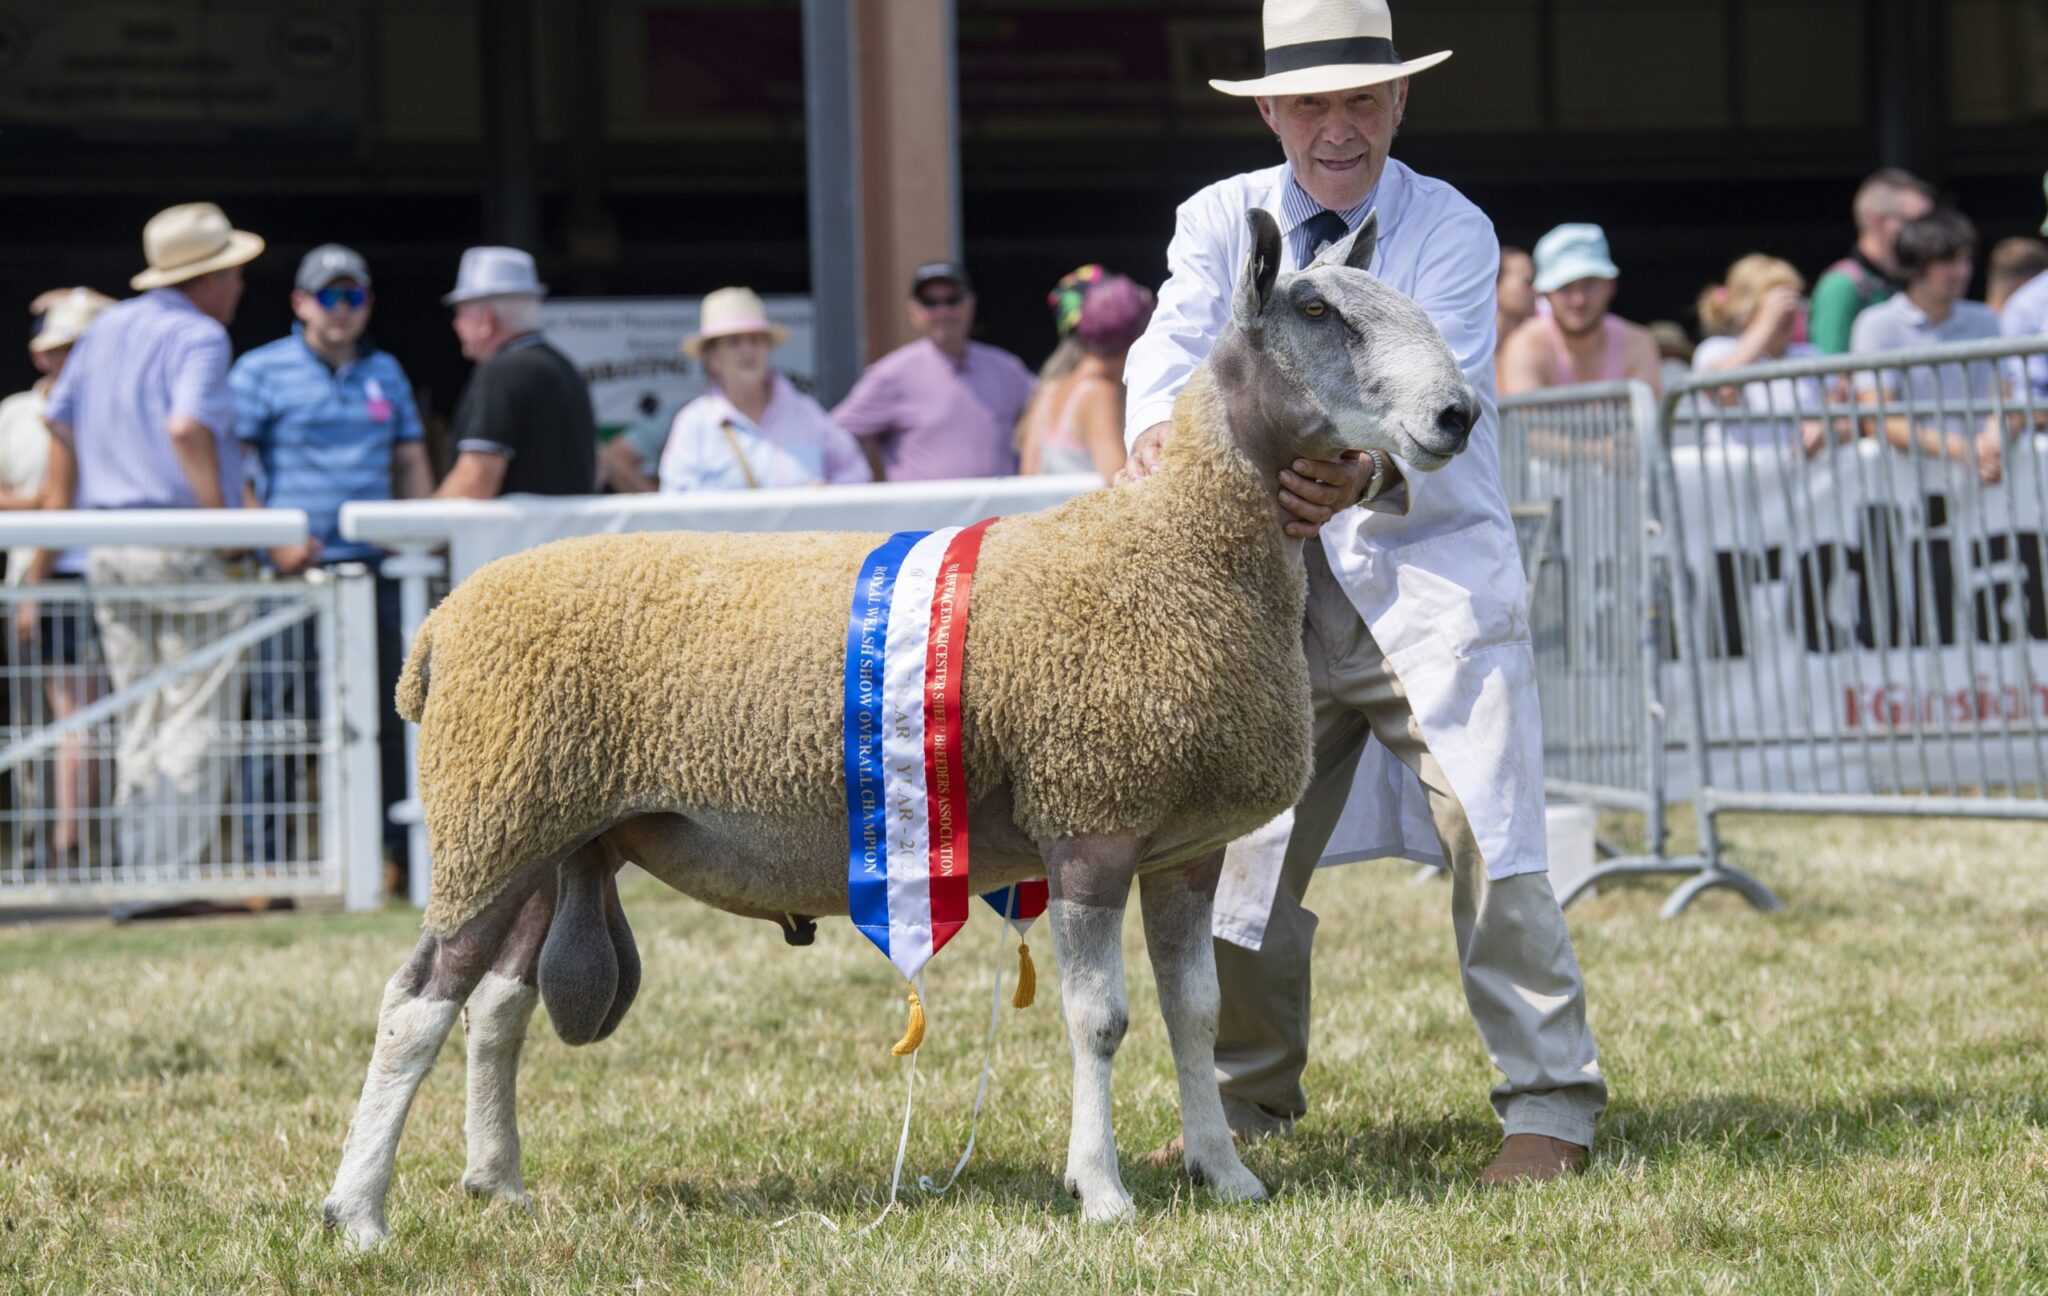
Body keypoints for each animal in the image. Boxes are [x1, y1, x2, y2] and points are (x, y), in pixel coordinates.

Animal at [315, 211, 1474, 1244]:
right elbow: (1099, 1021)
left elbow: (1192, 1010)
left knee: (496, 1007)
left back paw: (496, 1183)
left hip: (546, 831)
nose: (1458, 413)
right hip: (492, 816)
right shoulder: (1089, 819)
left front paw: (1225, 1177)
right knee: (414, 1003)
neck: (1171, 548)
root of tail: (441, 625)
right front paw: (1101, 1193)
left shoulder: (1184, 844)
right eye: (1317, 311)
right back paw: (358, 1212)